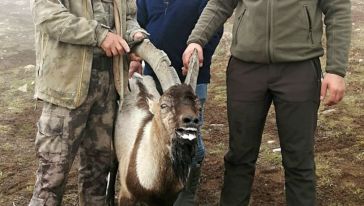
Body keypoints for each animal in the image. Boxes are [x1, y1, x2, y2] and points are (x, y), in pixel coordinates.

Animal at [109, 39, 202, 205]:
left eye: (199, 107)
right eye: (163, 105)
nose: (191, 121)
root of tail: (137, 78)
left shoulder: (168, 200)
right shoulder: (126, 195)